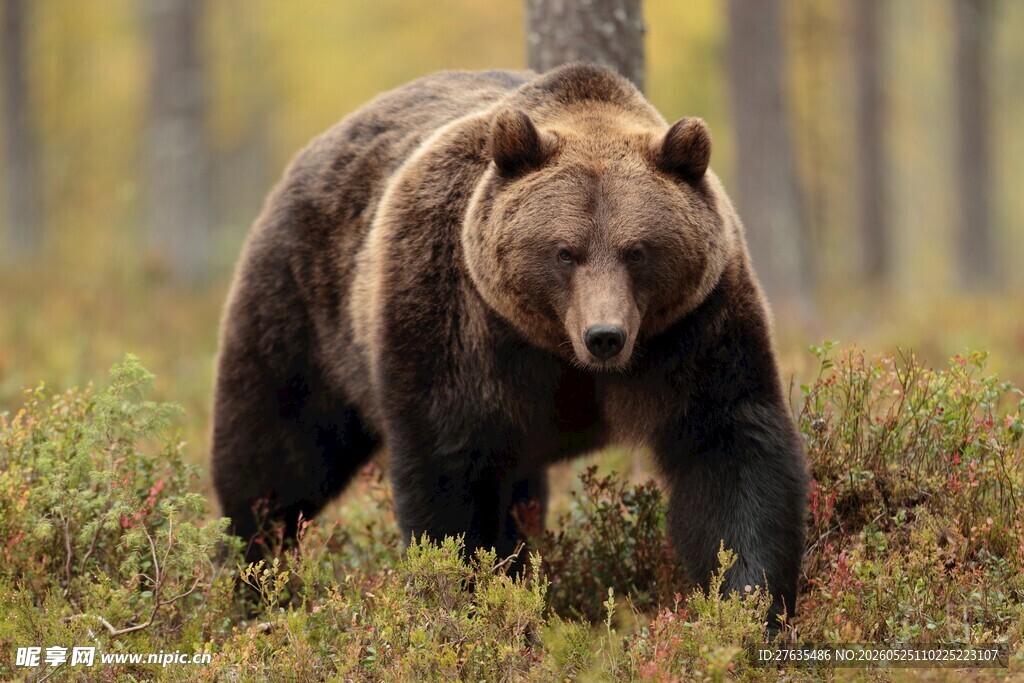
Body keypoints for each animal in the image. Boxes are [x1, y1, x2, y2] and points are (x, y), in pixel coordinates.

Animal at [211, 63, 809, 624]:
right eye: (564, 251)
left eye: (637, 250)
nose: (605, 337)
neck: (557, 348)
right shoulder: (458, 322)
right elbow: (448, 472)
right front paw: (467, 600)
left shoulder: (695, 325)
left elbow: (727, 451)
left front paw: (749, 604)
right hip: (305, 308)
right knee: (277, 454)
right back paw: (250, 581)